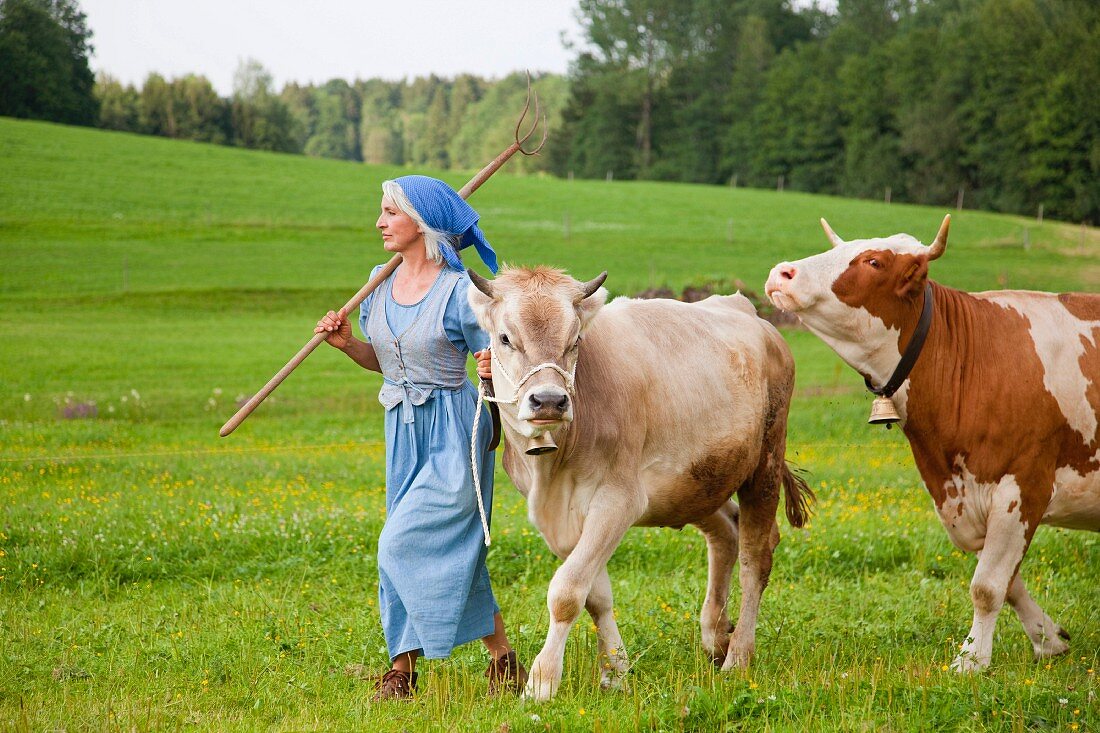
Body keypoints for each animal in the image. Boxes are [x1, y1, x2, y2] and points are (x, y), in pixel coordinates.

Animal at [468, 265, 814, 699]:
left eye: (574, 340)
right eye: (505, 338)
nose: (549, 400)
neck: (553, 466)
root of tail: (750, 313)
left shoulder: (617, 501)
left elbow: (567, 592)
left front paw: (543, 681)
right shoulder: (557, 518)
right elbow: (595, 595)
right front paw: (616, 672)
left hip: (764, 462)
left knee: (756, 558)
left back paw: (737, 657)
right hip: (696, 482)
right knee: (726, 533)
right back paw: (715, 635)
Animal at [765, 214, 1100, 669]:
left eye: (873, 261)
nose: (782, 273)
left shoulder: (1024, 484)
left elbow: (987, 585)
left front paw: (972, 660)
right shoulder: (959, 495)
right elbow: (1008, 581)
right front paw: (1048, 640)